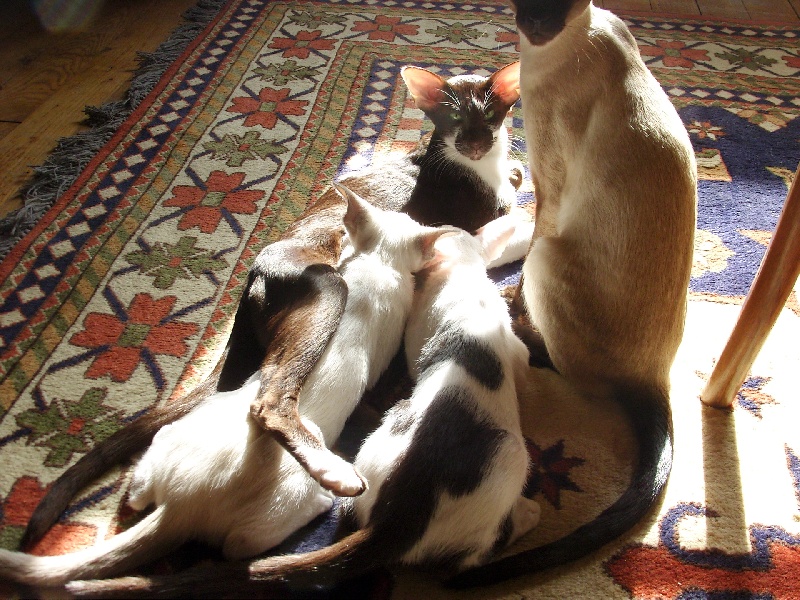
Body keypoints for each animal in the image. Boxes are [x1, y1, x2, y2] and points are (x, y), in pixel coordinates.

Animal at [0, 186, 450, 584]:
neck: (377, 260)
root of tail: (182, 506)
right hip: (292, 490)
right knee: (245, 525)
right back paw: (332, 478)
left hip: (164, 444)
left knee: (136, 493)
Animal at [446, 0, 696, 592]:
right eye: (526, 7)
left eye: (560, 6)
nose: (538, 25)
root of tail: (655, 379)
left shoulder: (548, 183)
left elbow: (526, 232)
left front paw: (509, 304)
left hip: (548, 259)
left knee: (562, 361)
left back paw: (524, 335)